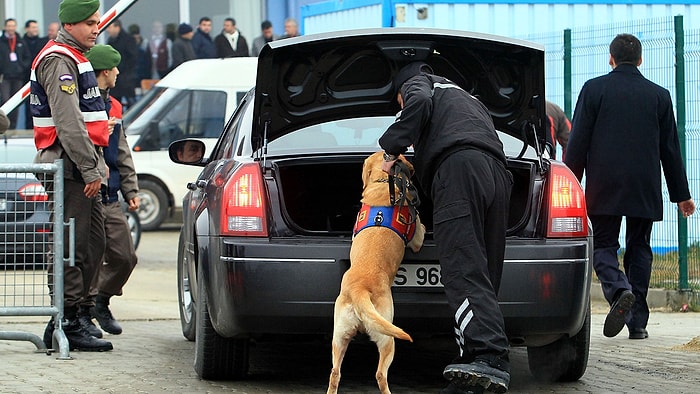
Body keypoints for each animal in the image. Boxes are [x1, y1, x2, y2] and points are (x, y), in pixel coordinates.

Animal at [326, 151, 426, 394]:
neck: (383, 182)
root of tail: (359, 290)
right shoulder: (417, 238)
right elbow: (421, 232)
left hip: (338, 337)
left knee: (335, 373)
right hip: (387, 337)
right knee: (380, 374)